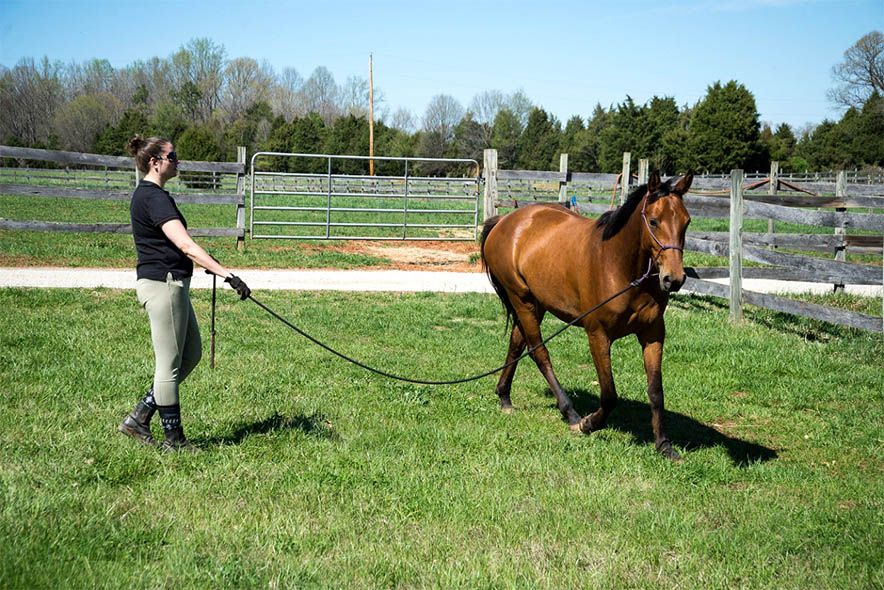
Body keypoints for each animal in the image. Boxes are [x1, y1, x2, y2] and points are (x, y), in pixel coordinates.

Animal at [480, 171, 692, 460]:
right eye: (653, 221)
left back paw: (504, 397)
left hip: (537, 303)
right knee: (539, 353)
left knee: (516, 344)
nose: (674, 279)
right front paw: (588, 424)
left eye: (686, 222)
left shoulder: (653, 334)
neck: (618, 266)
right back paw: (570, 413)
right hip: (522, 301)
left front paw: (664, 445)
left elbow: (656, 391)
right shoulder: (598, 335)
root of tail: (505, 221)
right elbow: (609, 395)